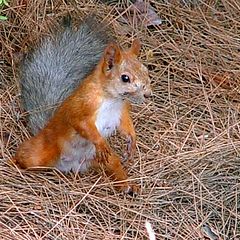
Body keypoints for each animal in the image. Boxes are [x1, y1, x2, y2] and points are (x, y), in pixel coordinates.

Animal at [13, 15, 151, 195]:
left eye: (146, 70)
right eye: (125, 78)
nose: (148, 94)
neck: (112, 100)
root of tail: (69, 165)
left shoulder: (121, 111)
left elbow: (126, 124)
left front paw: (131, 140)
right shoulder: (82, 105)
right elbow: (82, 123)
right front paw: (100, 142)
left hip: (104, 159)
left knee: (114, 164)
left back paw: (127, 185)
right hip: (39, 152)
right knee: (25, 155)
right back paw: (12, 162)